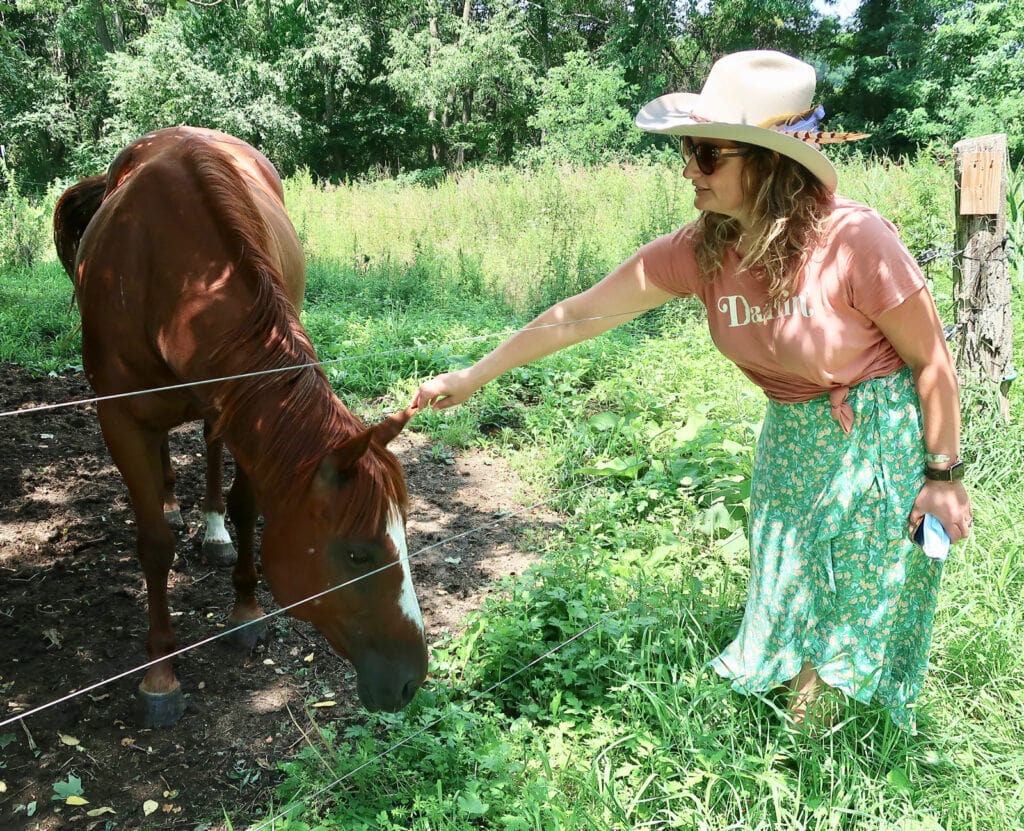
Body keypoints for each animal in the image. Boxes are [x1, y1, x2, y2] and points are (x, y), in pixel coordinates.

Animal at [50, 124, 428, 728]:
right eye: (357, 554)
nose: (412, 680)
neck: (173, 275)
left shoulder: (242, 406)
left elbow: (248, 506)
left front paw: (246, 610)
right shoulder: (120, 418)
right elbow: (153, 544)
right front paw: (161, 676)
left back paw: (212, 531)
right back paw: (174, 504)